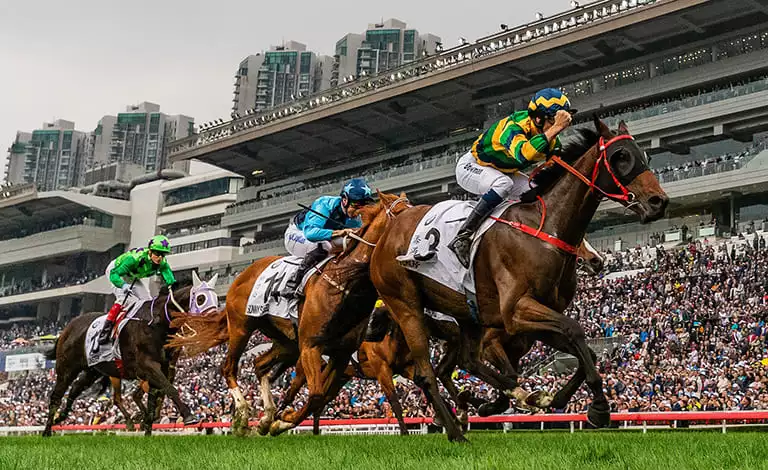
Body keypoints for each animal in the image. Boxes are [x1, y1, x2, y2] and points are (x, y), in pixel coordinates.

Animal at [42, 275, 218, 437]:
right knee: (57, 395)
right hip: (67, 368)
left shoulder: (162, 369)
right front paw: (188, 416)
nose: (215, 320)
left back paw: (61, 417)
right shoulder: (148, 367)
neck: (157, 323)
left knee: (75, 389)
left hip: (93, 370)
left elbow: (156, 398)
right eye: (201, 298)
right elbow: (168, 389)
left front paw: (147, 429)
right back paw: (47, 430)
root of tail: (68, 327)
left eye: (217, 298)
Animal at [168, 191, 410, 437]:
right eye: (401, 213)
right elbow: (316, 394)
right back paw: (243, 416)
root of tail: (243, 273)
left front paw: (278, 421)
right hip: (241, 327)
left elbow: (317, 397)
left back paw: (266, 416)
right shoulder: (311, 347)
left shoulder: (340, 355)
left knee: (259, 365)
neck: (346, 281)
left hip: (286, 342)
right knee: (228, 367)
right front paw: (281, 420)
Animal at [370, 117, 668, 441]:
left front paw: (557, 398)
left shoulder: (534, 321)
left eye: (645, 155)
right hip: (406, 307)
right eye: (620, 156)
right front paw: (599, 408)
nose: (659, 202)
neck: (544, 229)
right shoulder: (516, 311)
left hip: (466, 314)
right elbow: (575, 330)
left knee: (464, 361)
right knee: (427, 372)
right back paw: (458, 428)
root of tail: (383, 238)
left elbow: (583, 346)